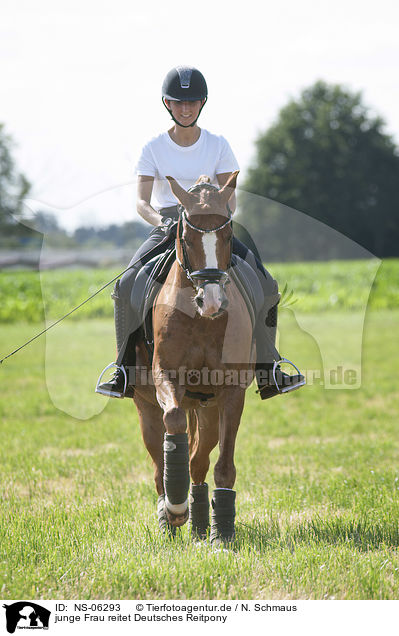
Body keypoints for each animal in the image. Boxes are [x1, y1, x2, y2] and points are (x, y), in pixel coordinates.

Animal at [133, 171, 255, 544]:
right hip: (145, 407)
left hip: (207, 407)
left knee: (199, 460)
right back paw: (169, 516)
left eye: (228, 235)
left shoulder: (231, 390)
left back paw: (202, 525)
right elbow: (173, 423)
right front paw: (175, 507)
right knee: (160, 462)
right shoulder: (165, 377)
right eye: (186, 237)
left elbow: (222, 465)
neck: (201, 319)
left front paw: (222, 534)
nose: (211, 301)